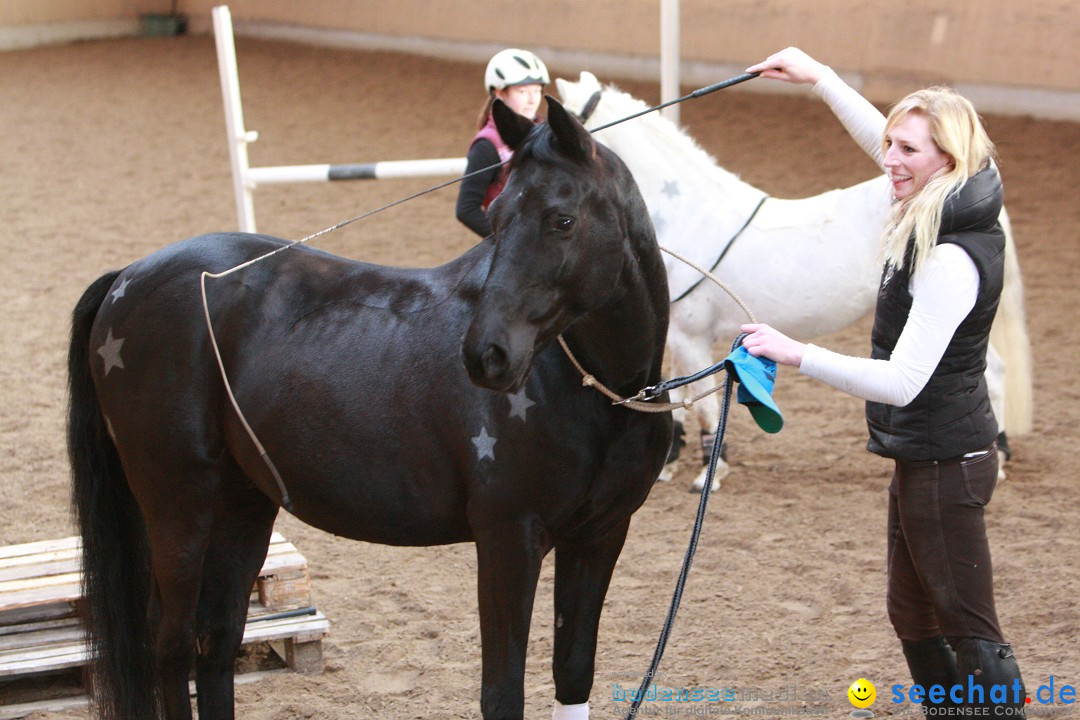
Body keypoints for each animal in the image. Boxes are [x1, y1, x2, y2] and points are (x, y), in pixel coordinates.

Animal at [67, 97, 669, 720]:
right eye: (497, 215)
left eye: (563, 220)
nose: (486, 355)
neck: (599, 392)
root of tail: (127, 279)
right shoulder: (509, 537)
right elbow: (502, 694)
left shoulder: (598, 536)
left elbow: (573, 675)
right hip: (178, 504)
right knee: (172, 643)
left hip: (242, 506)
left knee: (218, 641)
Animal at [552, 71, 1032, 490]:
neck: (691, 212)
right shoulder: (680, 331)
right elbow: (675, 391)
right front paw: (670, 462)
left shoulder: (691, 335)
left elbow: (705, 403)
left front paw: (709, 475)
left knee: (994, 372)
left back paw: (998, 459)